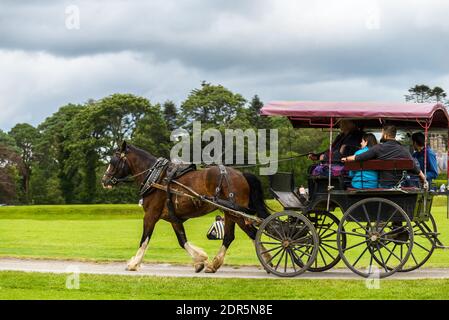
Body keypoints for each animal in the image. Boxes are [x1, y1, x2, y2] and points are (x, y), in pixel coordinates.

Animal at [100, 141, 270, 274]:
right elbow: (182, 241)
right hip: (229, 213)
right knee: (229, 236)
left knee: (252, 233)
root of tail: (241, 174)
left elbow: (144, 240)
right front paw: (200, 260)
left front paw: (134, 263)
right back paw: (215, 264)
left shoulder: (150, 215)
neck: (156, 178)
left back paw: (267, 260)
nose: (104, 180)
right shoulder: (173, 218)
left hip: (236, 213)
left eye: (113, 161)